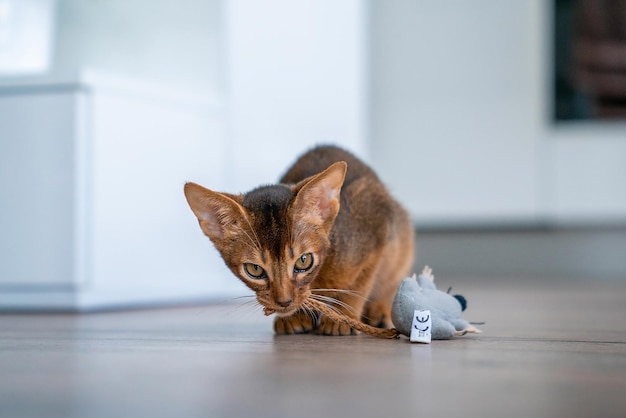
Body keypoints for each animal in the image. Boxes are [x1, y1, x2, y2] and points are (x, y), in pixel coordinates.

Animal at [183, 145, 412, 334]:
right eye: (254, 269)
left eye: (304, 260)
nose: (284, 301)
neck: (319, 276)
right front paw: (295, 316)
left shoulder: (375, 227)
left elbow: (359, 286)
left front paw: (342, 317)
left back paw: (379, 310)